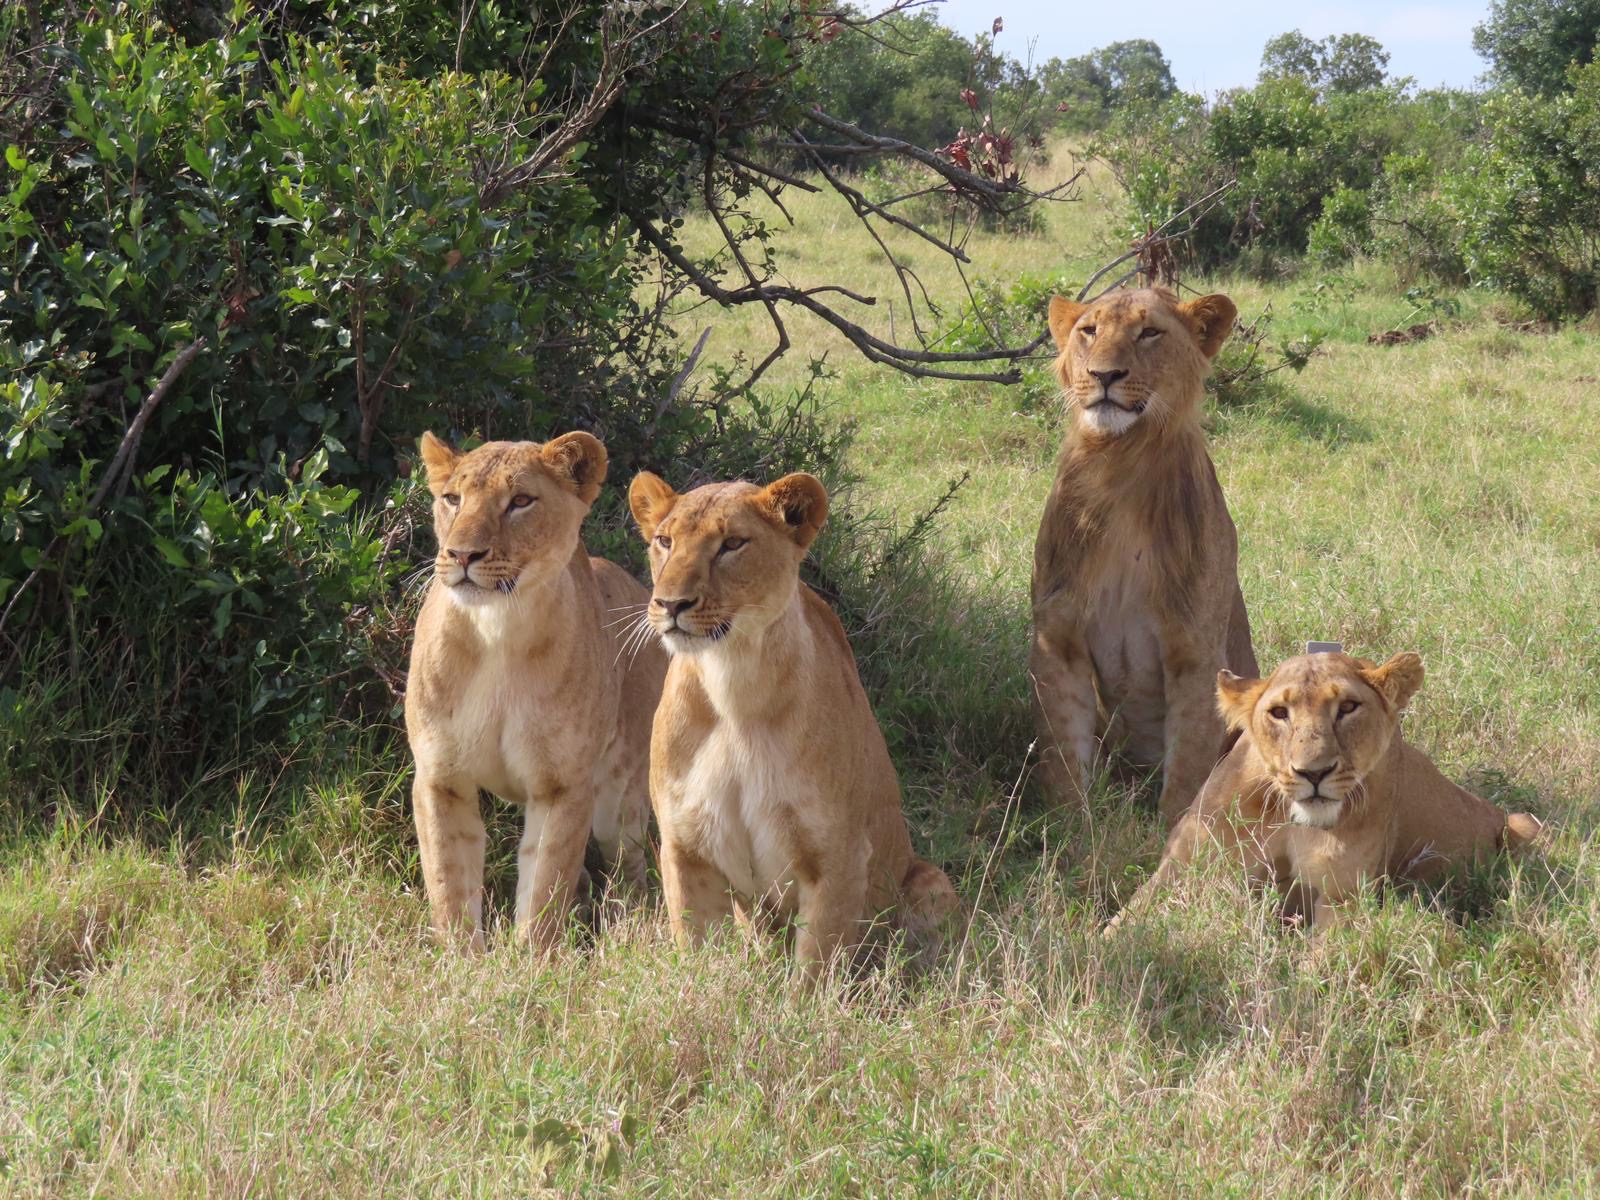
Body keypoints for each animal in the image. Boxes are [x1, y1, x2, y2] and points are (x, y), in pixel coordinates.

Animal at [405, 431, 666, 951]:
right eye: (452, 499)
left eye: (521, 502)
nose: (462, 555)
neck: (496, 631)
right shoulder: (440, 778)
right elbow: (449, 884)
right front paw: (460, 960)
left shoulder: (562, 785)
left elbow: (544, 886)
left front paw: (531, 962)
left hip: (617, 797)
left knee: (628, 867)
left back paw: (628, 928)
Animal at [627, 469, 959, 983]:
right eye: (664, 541)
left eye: (732, 544)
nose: (670, 603)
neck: (733, 688)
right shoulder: (684, 849)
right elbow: (697, 954)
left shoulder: (838, 856)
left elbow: (814, 971)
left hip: (932, 883)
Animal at [1031, 286, 1257, 824]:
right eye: (1088, 330)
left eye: (1150, 332)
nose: (1103, 375)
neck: (1119, 462)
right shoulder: (1057, 636)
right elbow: (1061, 751)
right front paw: (1073, 828)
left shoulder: (1196, 651)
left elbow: (1189, 764)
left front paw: (1170, 833)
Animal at [1107, 650, 1544, 933]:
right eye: (1279, 713)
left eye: (1348, 707)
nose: (1313, 772)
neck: (1284, 811)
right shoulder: (1181, 863)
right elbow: (1124, 922)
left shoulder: (1342, 897)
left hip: (1525, 823)